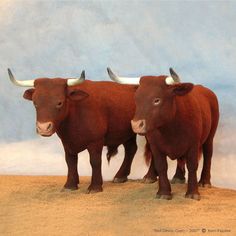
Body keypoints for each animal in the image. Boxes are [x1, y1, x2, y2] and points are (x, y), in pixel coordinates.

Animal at [7, 68, 157, 194]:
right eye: (35, 103)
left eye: (59, 102)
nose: (43, 127)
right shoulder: (67, 143)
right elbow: (70, 162)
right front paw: (70, 184)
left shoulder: (95, 141)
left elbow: (95, 161)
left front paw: (95, 186)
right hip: (126, 131)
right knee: (131, 149)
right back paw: (121, 176)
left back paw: (149, 177)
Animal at [109, 67, 219, 200]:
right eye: (136, 99)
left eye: (157, 100)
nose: (136, 125)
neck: (170, 130)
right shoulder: (156, 146)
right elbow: (161, 166)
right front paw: (164, 192)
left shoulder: (193, 145)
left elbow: (192, 166)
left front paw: (193, 193)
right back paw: (169, 177)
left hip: (210, 137)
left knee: (208, 155)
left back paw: (205, 181)